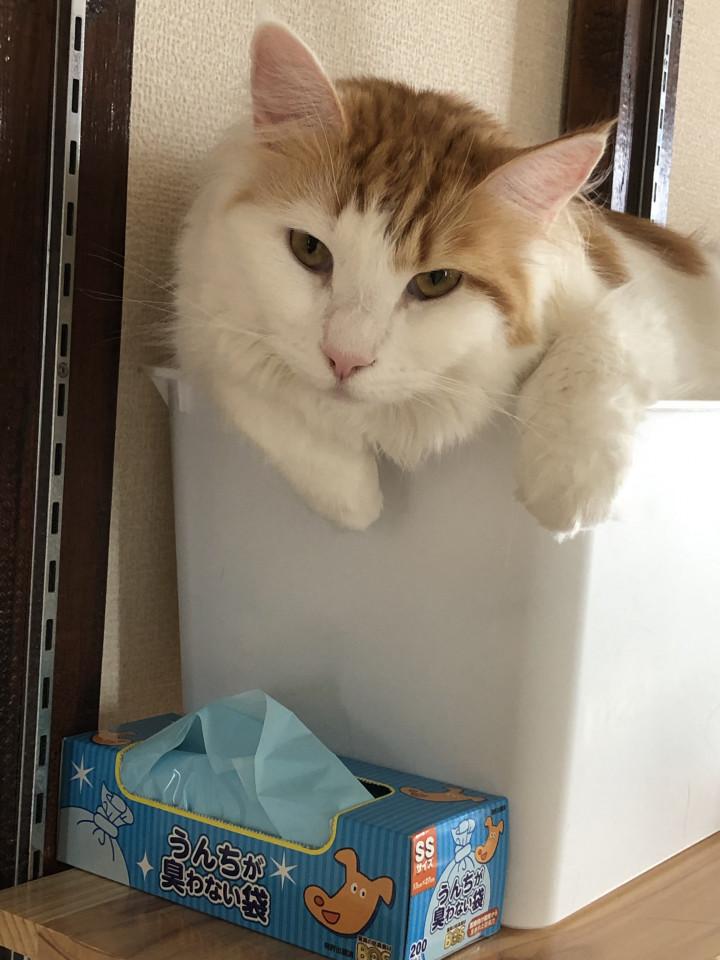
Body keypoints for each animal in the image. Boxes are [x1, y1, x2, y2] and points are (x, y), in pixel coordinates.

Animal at [174, 20, 720, 538]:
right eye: (310, 250)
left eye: (437, 280)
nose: (344, 359)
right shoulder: (198, 320)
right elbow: (252, 389)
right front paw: (352, 499)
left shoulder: (640, 303)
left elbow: (594, 345)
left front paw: (568, 486)